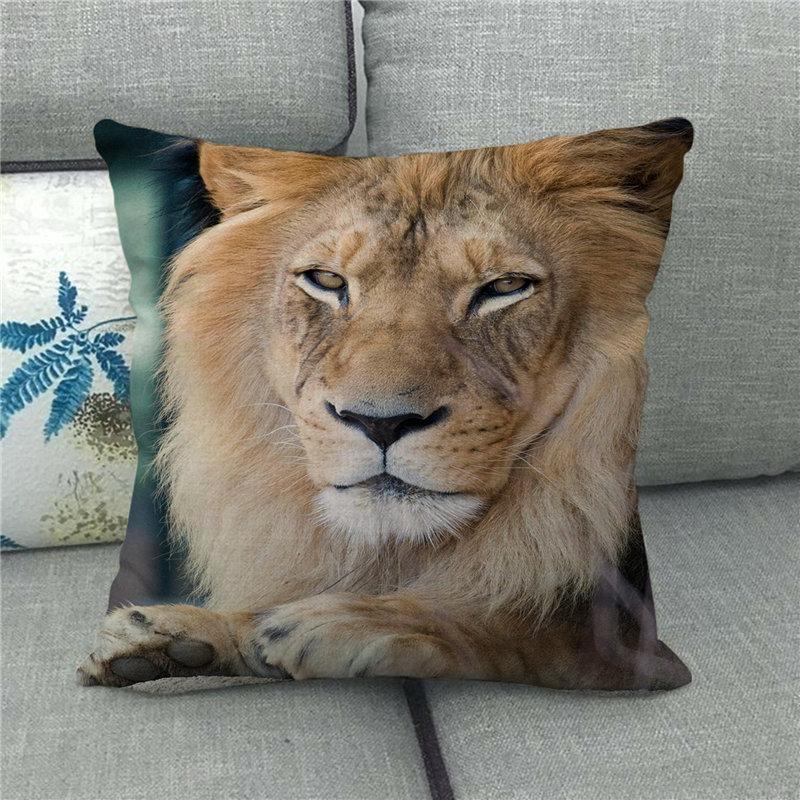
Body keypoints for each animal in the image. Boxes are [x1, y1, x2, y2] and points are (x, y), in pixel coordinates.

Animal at [79, 118, 693, 691]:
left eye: (504, 287)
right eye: (326, 281)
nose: (381, 422)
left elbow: (511, 633)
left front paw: (345, 626)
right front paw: (175, 638)